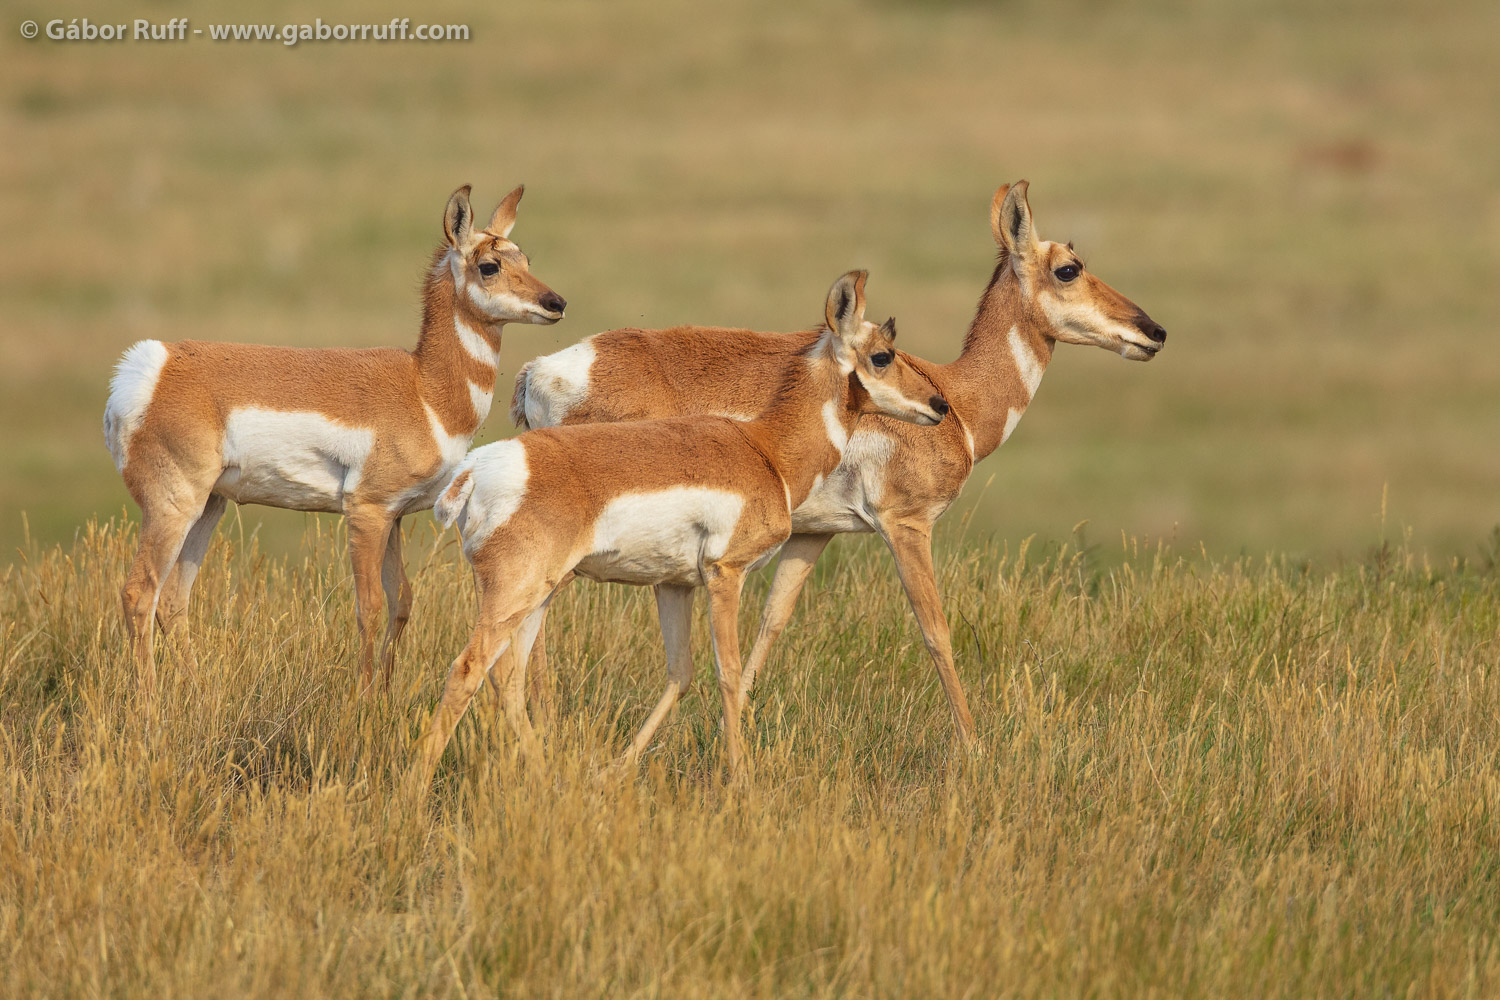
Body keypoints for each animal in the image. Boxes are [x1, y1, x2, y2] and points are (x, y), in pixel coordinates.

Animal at [102, 183, 564, 701]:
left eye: (525, 257)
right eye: (489, 265)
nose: (556, 302)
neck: (424, 389)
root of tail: (148, 370)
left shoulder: (394, 517)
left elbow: (402, 600)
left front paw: (383, 695)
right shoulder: (365, 511)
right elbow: (370, 607)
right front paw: (361, 702)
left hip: (208, 507)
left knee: (173, 600)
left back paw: (198, 692)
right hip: (173, 504)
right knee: (139, 592)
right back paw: (149, 704)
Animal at [414, 271, 948, 779]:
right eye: (882, 355)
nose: (940, 405)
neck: (764, 447)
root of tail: (476, 469)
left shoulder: (676, 586)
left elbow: (681, 674)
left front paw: (615, 770)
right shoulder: (725, 576)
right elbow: (729, 674)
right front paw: (742, 779)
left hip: (535, 596)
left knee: (508, 678)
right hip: (517, 594)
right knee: (469, 669)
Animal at [510, 179, 1164, 746]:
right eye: (1069, 267)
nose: (1154, 330)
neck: (955, 396)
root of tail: (542, 372)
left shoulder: (812, 536)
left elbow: (772, 623)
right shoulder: (906, 526)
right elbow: (936, 631)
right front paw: (975, 748)